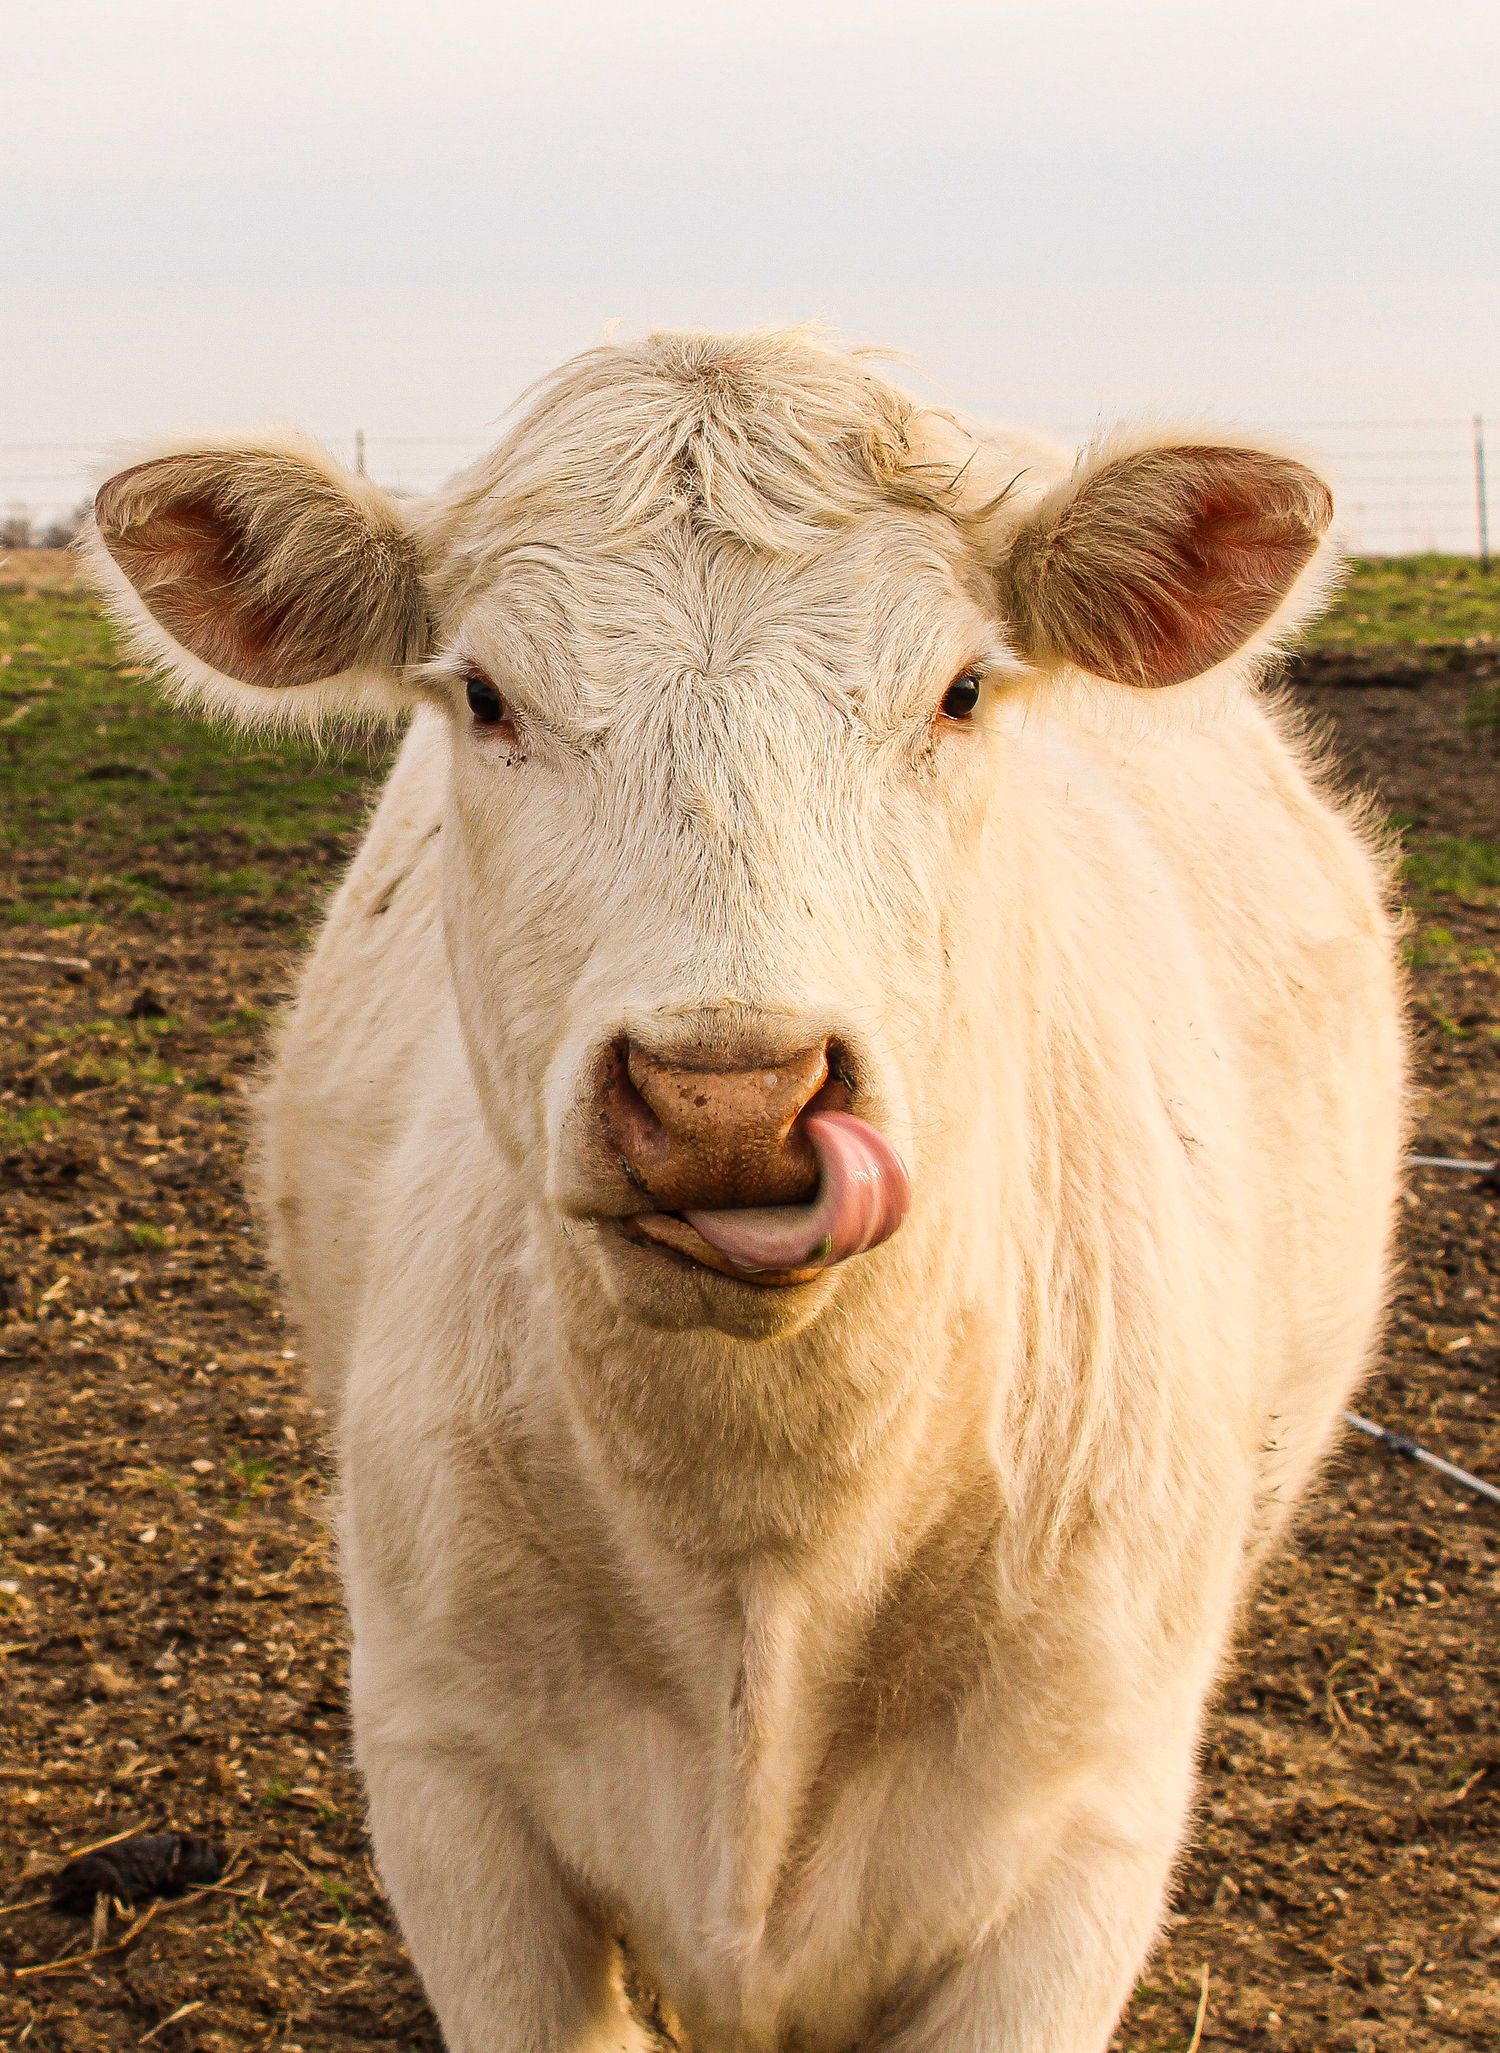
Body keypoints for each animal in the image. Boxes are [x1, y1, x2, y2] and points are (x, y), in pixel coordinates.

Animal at [86, 329, 1405, 2053]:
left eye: (962, 690)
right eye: (485, 696)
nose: (728, 1097)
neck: (762, 1530)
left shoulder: (1083, 1840)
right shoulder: (449, 1788)